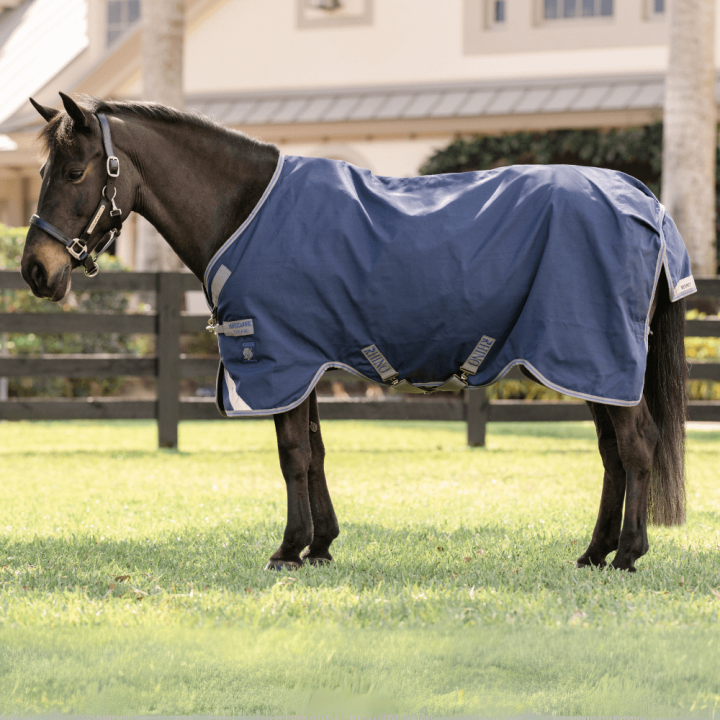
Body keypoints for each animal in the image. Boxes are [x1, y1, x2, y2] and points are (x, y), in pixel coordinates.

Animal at [21, 93, 690, 573]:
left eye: (75, 171)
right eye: (43, 169)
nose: (35, 270)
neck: (242, 209)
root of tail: (643, 199)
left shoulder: (279, 359)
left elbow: (292, 455)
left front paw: (288, 549)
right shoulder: (306, 363)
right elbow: (314, 451)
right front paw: (321, 545)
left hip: (596, 355)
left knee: (637, 446)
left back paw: (628, 554)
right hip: (590, 367)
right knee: (612, 453)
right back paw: (595, 553)